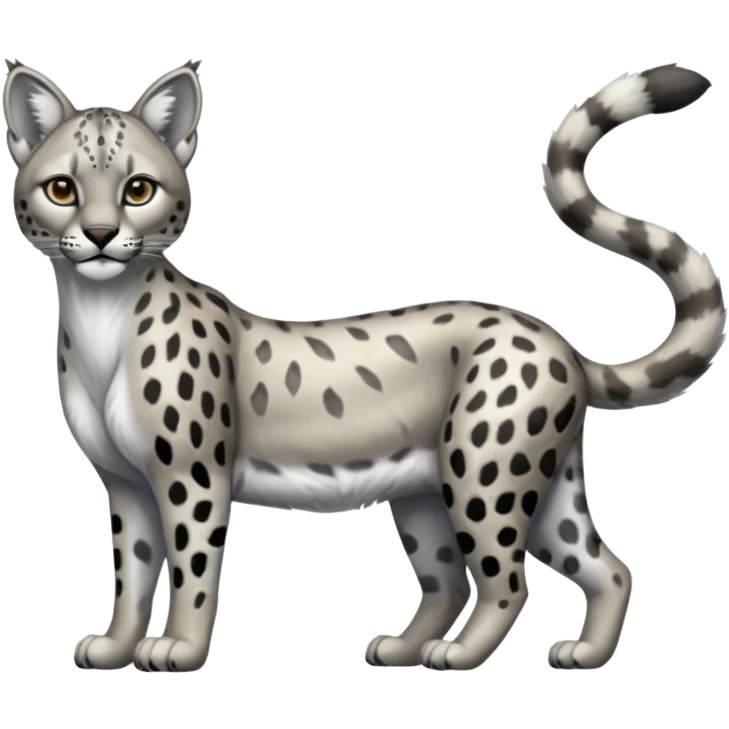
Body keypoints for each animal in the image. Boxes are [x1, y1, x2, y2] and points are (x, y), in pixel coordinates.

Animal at [2, 58, 725, 673]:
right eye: (62, 189)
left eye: (138, 189)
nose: (100, 236)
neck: (102, 315)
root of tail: (555, 337)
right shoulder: (125, 483)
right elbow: (133, 568)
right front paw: (114, 644)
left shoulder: (191, 476)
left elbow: (192, 568)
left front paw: (177, 647)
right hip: (457, 488)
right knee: (580, 567)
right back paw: (510, 650)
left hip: (485, 470)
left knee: (506, 578)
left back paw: (458, 653)